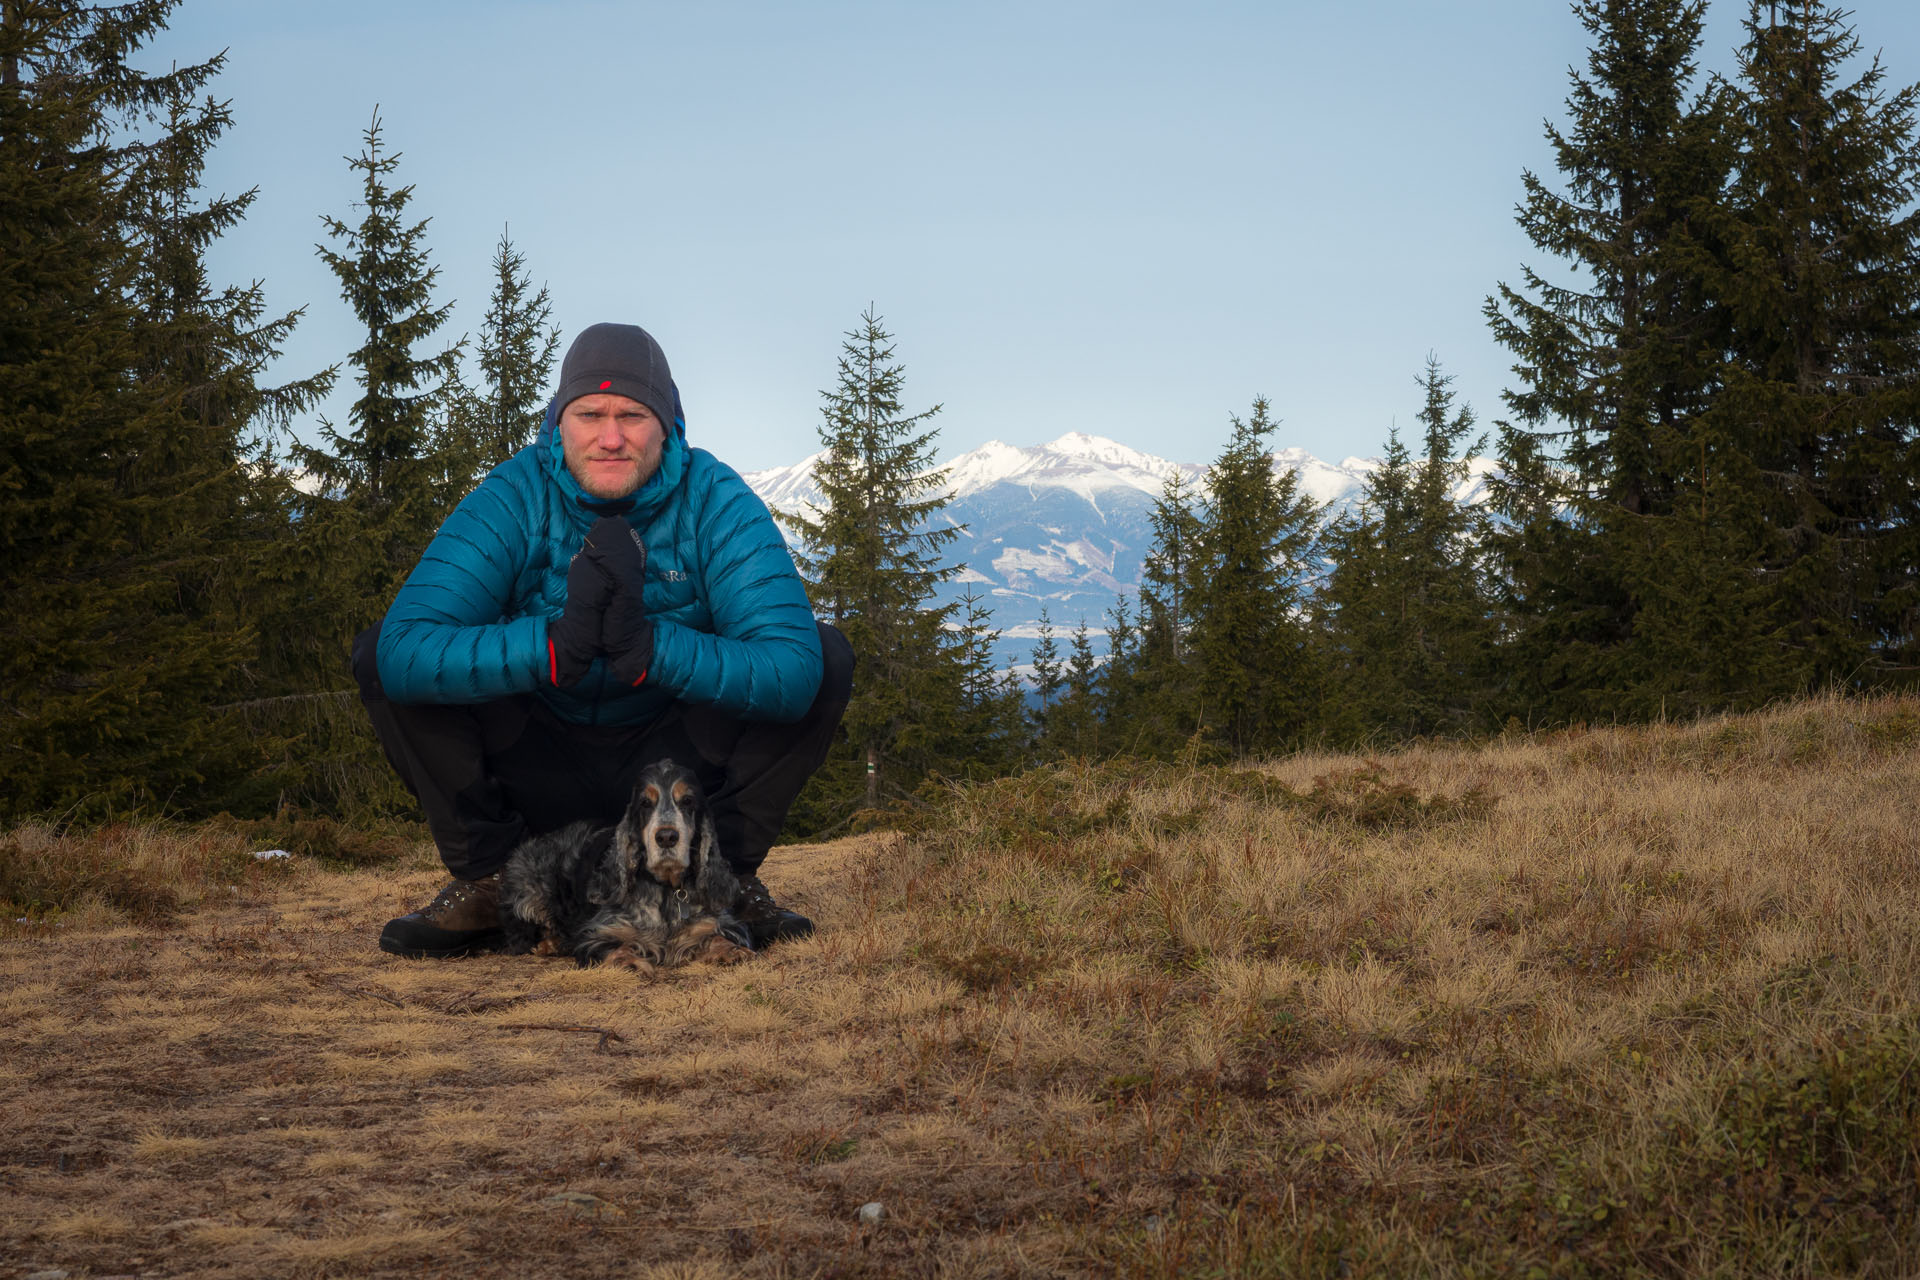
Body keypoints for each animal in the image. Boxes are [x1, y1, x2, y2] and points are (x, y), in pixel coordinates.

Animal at [499, 756, 752, 974]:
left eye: (688, 801)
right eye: (645, 803)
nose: (667, 837)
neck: (665, 890)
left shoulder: (718, 923)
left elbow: (717, 935)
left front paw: (733, 951)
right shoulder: (598, 932)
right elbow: (615, 947)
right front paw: (630, 963)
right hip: (528, 887)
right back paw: (549, 944)